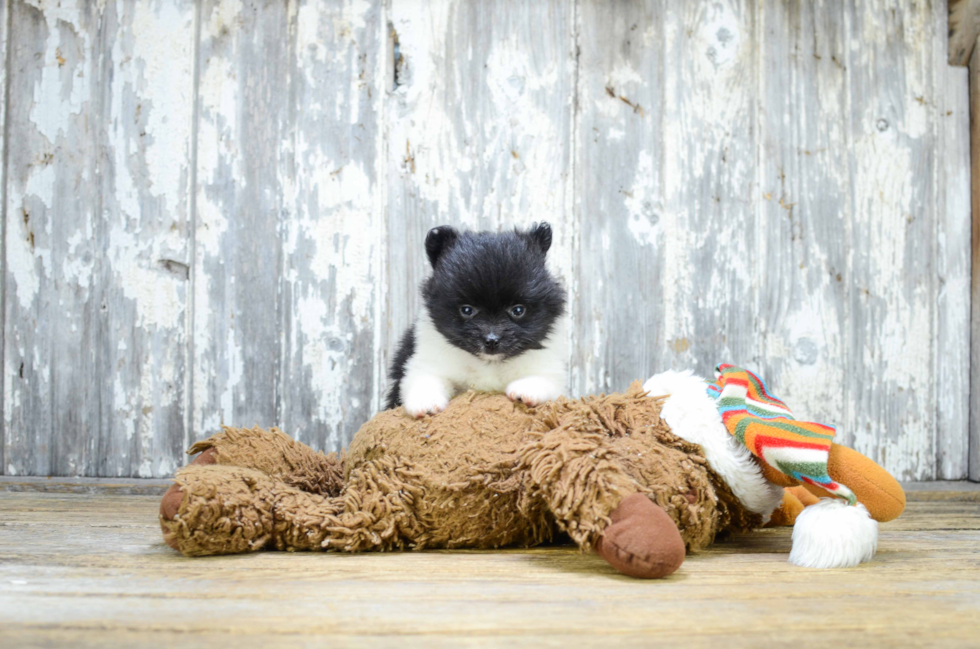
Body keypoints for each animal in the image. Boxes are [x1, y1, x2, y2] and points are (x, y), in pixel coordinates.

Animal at [384, 221, 568, 416]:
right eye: (467, 310)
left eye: (518, 310)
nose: (492, 340)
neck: (488, 364)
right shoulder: (426, 361)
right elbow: (425, 378)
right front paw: (425, 403)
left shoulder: (550, 369)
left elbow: (544, 379)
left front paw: (525, 390)